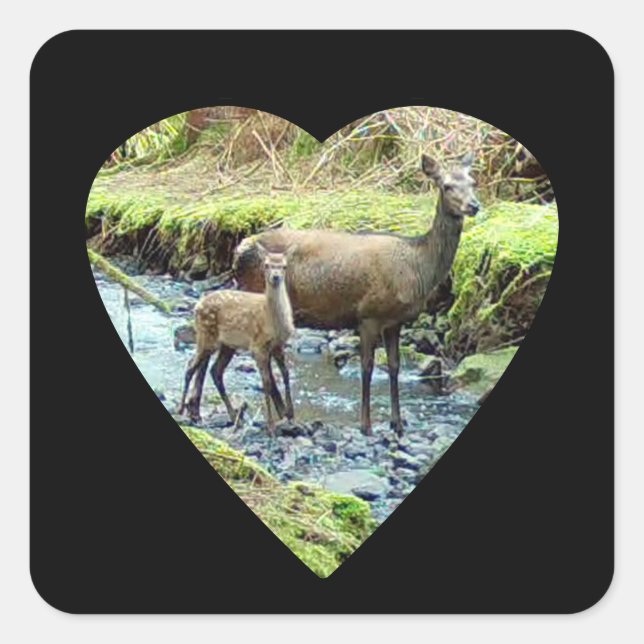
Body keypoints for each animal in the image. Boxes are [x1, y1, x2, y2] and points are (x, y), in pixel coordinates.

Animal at [179, 248, 295, 435]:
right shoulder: (258, 346)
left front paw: (290, 414)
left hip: (227, 345)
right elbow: (266, 382)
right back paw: (182, 410)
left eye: (284, 266)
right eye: (266, 265)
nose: (276, 277)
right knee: (191, 366)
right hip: (206, 335)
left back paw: (233, 416)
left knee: (214, 370)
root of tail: (196, 306)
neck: (272, 320)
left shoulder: (278, 345)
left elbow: (285, 374)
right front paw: (271, 426)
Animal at [232, 153, 480, 437]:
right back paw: (284, 412)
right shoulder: (368, 315)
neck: (417, 269)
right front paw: (366, 425)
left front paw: (397, 423)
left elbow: (394, 366)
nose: (474, 205)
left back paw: (285, 411)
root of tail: (238, 251)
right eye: (447, 186)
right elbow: (367, 367)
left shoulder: (395, 321)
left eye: (473, 182)